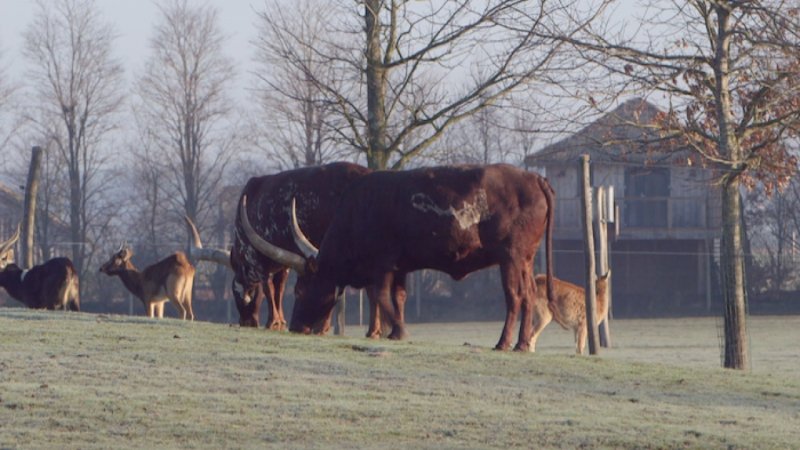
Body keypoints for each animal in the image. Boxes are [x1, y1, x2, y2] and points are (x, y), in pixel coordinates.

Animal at [230, 163, 370, 328]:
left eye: (234, 292)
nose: (246, 322)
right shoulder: (282, 264)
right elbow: (279, 290)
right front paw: (280, 321)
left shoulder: (258, 260)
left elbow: (268, 289)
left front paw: (273, 321)